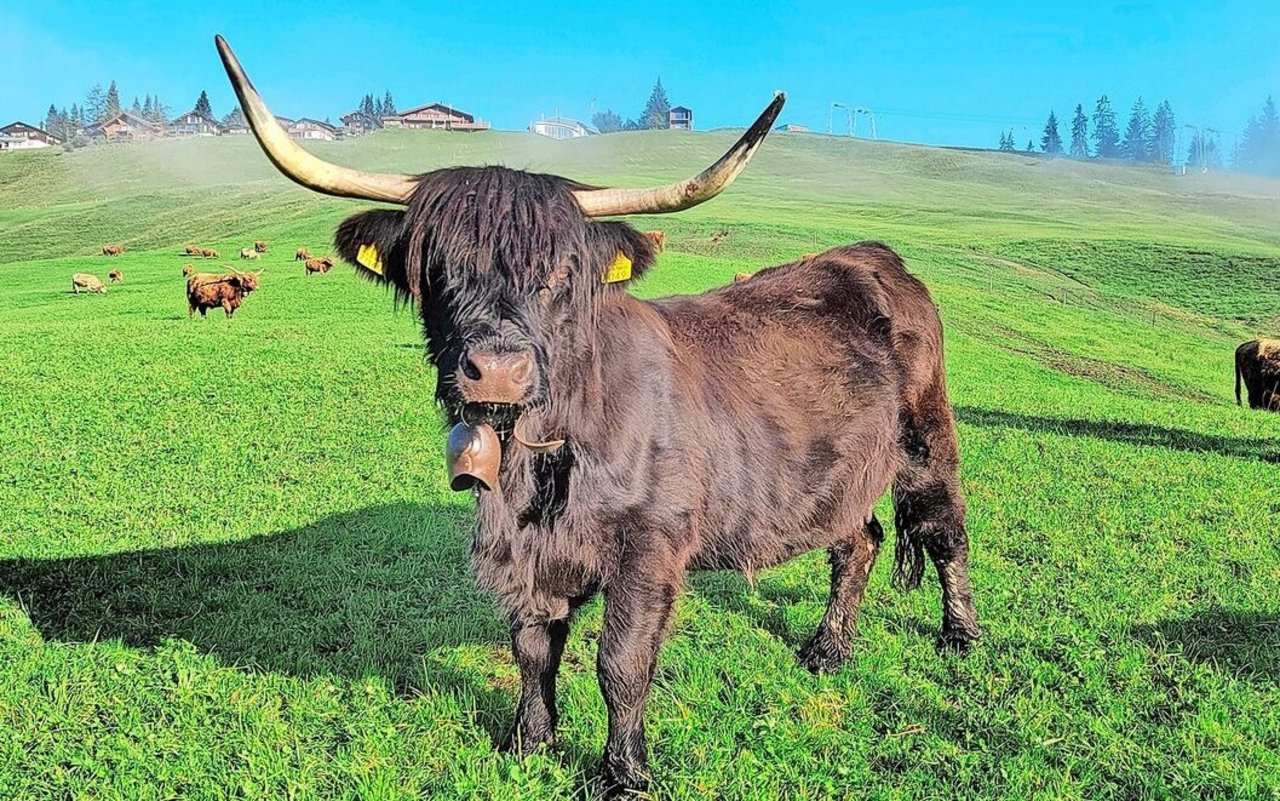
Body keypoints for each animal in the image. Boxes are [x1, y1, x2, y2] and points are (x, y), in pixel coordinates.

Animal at [220, 35, 977, 793]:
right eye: (437, 269)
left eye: (561, 274)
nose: (497, 369)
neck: (539, 459)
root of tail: (871, 255)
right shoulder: (527, 553)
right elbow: (532, 646)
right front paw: (529, 742)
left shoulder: (650, 545)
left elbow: (622, 661)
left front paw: (623, 772)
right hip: (837, 474)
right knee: (859, 540)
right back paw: (827, 648)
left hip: (926, 436)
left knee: (942, 529)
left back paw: (959, 635)